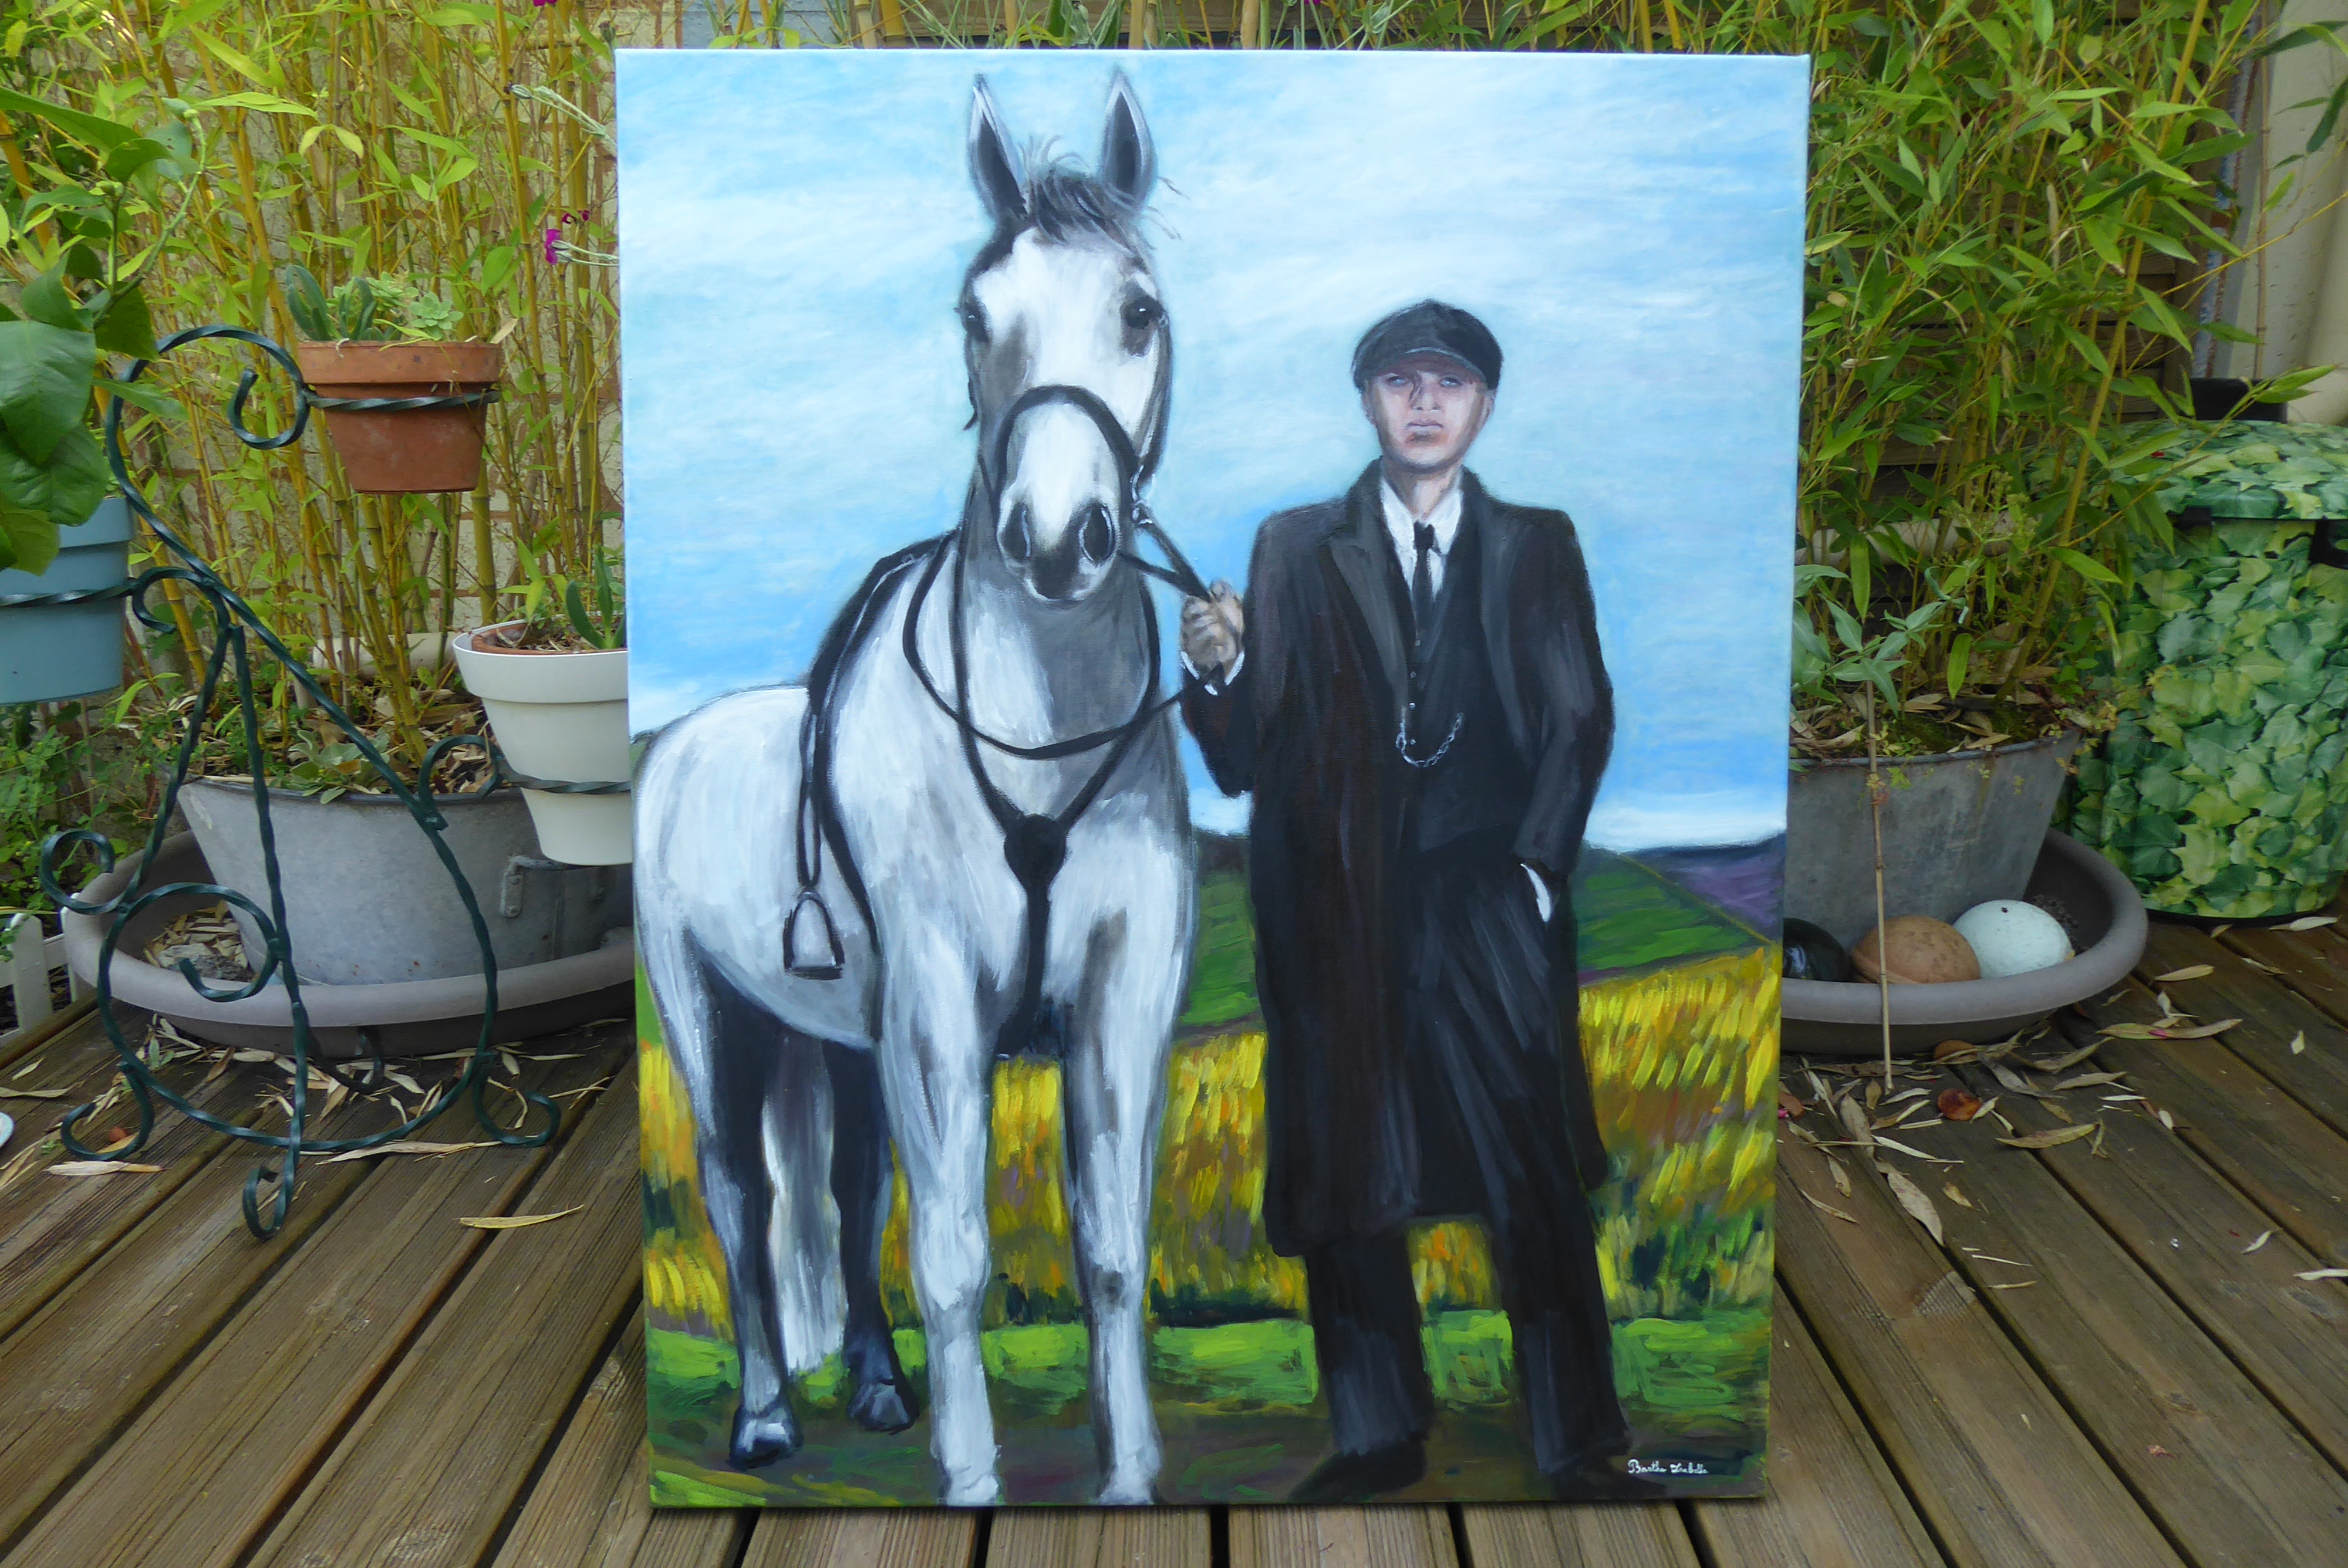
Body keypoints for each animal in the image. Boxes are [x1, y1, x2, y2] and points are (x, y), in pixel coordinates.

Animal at [635, 72, 1194, 1507]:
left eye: (1138, 311)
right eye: (974, 316)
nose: (1055, 541)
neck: (1038, 740)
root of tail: (676, 745)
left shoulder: (1119, 996)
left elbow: (1113, 1249)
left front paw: (1128, 1481)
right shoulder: (939, 1009)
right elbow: (953, 1257)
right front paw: (975, 1481)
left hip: (842, 1045)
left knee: (846, 1191)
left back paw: (881, 1387)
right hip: (715, 1022)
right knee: (742, 1200)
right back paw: (767, 1415)